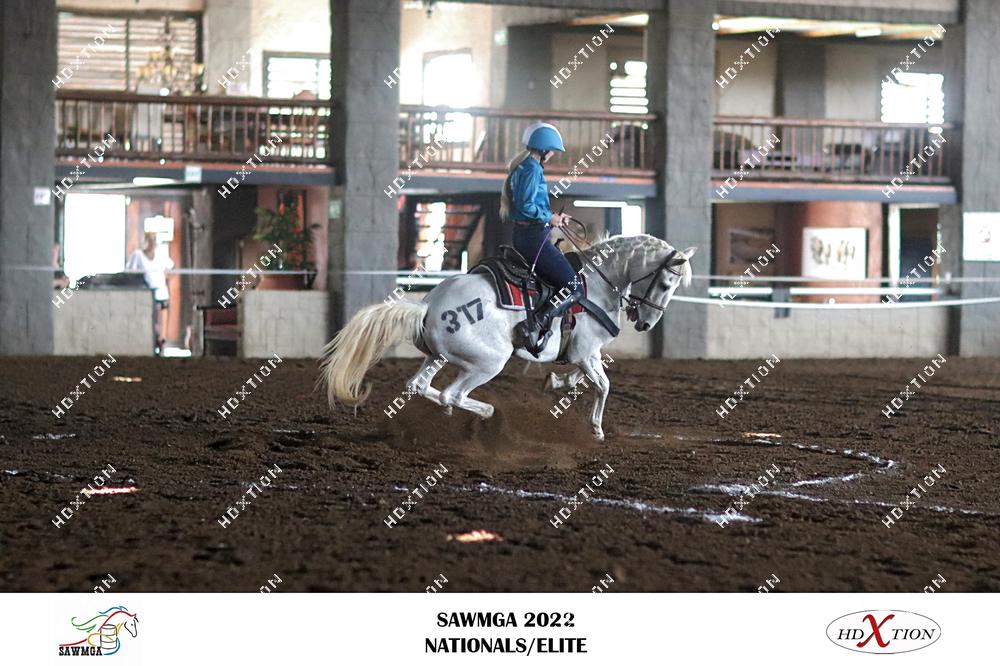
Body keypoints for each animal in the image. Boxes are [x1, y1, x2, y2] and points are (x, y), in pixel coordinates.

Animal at [319, 234, 695, 441]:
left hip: (438, 357)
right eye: (665, 283)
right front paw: (596, 429)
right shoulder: (586, 350)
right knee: (453, 394)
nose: (646, 323)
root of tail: (427, 307)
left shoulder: (583, 352)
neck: (597, 283)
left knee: (420, 386)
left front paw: (556, 383)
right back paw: (486, 415)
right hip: (488, 362)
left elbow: (581, 377)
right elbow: (602, 384)